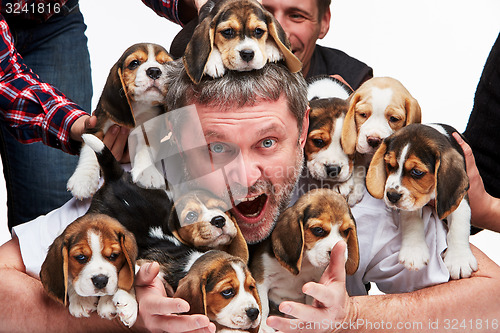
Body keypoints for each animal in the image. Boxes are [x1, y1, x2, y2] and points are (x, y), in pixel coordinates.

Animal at [67, 41, 174, 197]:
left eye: (167, 65)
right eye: (134, 63)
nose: (154, 71)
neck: (139, 107)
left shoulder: (150, 131)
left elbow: (146, 149)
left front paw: (148, 173)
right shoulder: (97, 124)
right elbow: (90, 150)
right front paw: (83, 179)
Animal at [252, 188, 358, 330]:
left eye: (346, 231)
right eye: (318, 230)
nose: (337, 251)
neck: (305, 262)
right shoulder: (261, 279)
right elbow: (263, 304)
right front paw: (263, 326)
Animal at [366, 122, 478, 278]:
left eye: (417, 172)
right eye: (389, 165)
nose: (391, 196)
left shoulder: (460, 198)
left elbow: (459, 225)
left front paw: (459, 259)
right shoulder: (410, 202)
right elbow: (412, 221)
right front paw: (414, 252)